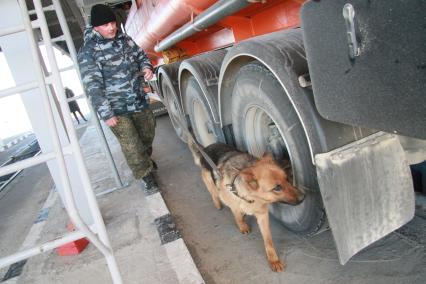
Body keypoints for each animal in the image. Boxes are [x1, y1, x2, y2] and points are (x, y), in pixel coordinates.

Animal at [188, 141, 304, 272]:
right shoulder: (234, 204)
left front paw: (273, 259)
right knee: (214, 193)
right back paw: (218, 204)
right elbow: (237, 215)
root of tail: (206, 147)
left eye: (287, 178)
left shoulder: (263, 215)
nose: (303, 197)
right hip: (210, 182)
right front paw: (242, 225)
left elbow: (268, 239)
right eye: (277, 188)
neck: (251, 197)